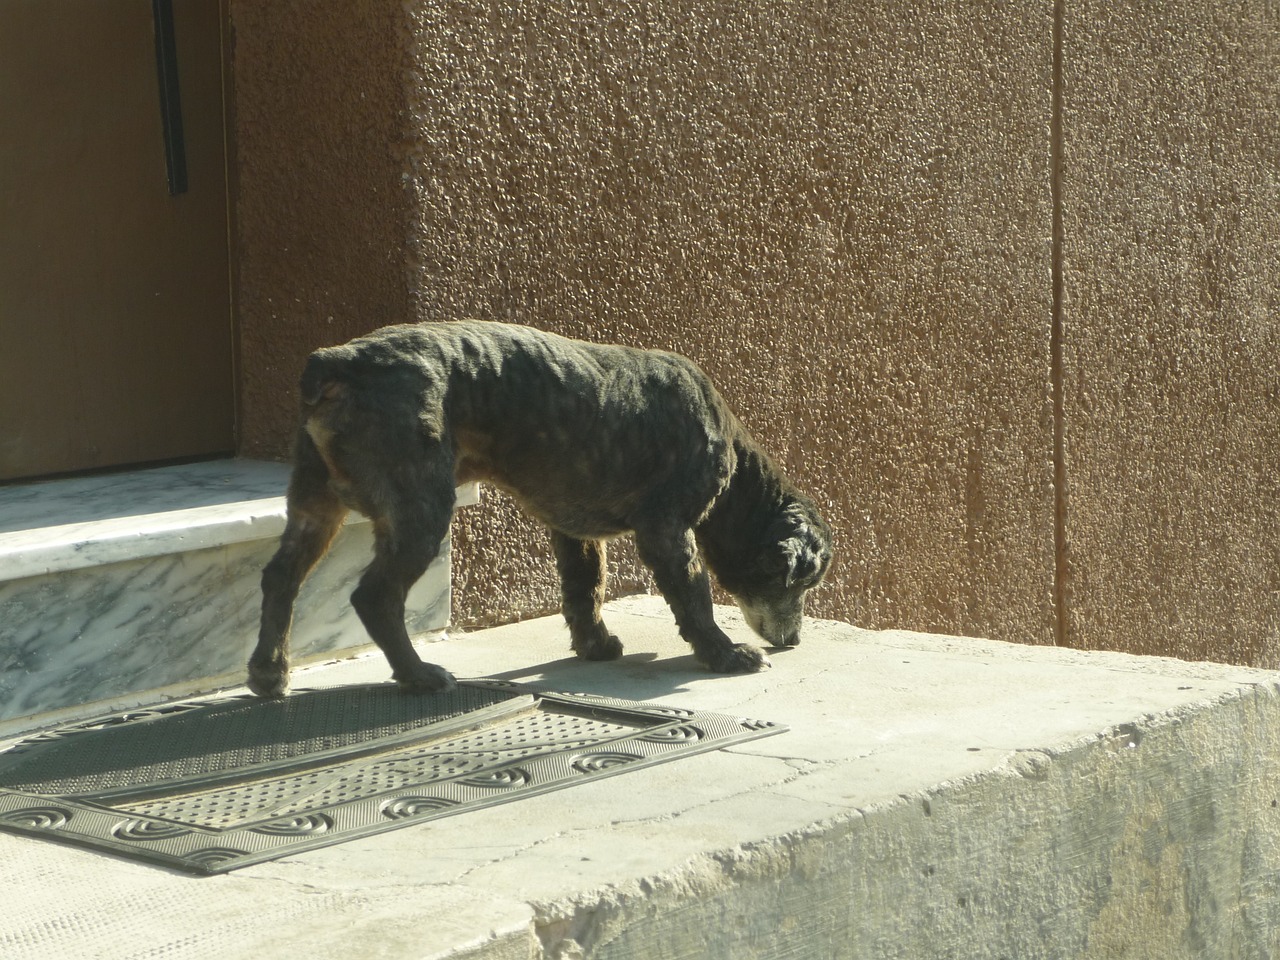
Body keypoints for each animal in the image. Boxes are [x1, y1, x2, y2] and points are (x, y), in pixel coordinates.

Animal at [248, 323, 834, 701]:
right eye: (805, 583)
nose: (796, 639)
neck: (736, 475)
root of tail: (336, 362)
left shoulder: (574, 531)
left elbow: (585, 588)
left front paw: (594, 644)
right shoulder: (667, 530)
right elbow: (694, 598)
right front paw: (725, 655)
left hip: (315, 505)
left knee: (280, 578)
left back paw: (269, 673)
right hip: (419, 507)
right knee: (374, 596)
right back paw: (418, 675)